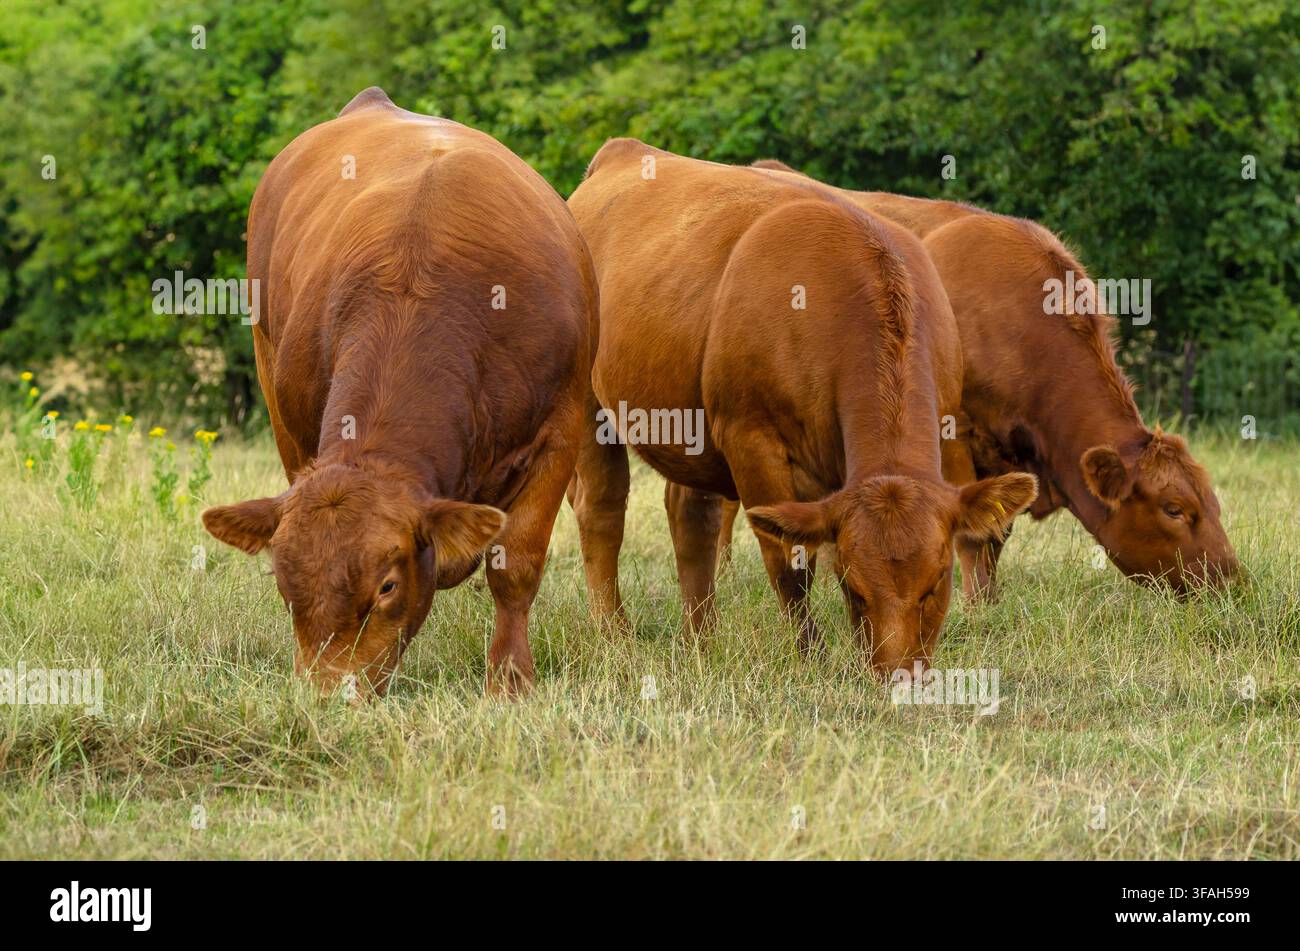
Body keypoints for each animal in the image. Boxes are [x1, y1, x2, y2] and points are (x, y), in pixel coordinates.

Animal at [202, 87, 597, 698]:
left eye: (386, 586)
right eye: (284, 584)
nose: (328, 696)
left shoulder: (560, 432)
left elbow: (516, 566)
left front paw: (510, 680)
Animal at [566, 140, 1036, 676]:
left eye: (937, 581)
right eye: (854, 588)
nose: (898, 676)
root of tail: (622, 151)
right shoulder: (752, 441)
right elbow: (790, 563)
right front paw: (812, 659)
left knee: (690, 516)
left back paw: (701, 642)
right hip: (592, 405)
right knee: (603, 510)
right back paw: (615, 635)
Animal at [720, 159, 1238, 599]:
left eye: (1212, 502)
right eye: (1174, 509)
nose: (1232, 581)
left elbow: (995, 529)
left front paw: (988, 600)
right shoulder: (955, 433)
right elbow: (972, 533)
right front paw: (974, 605)